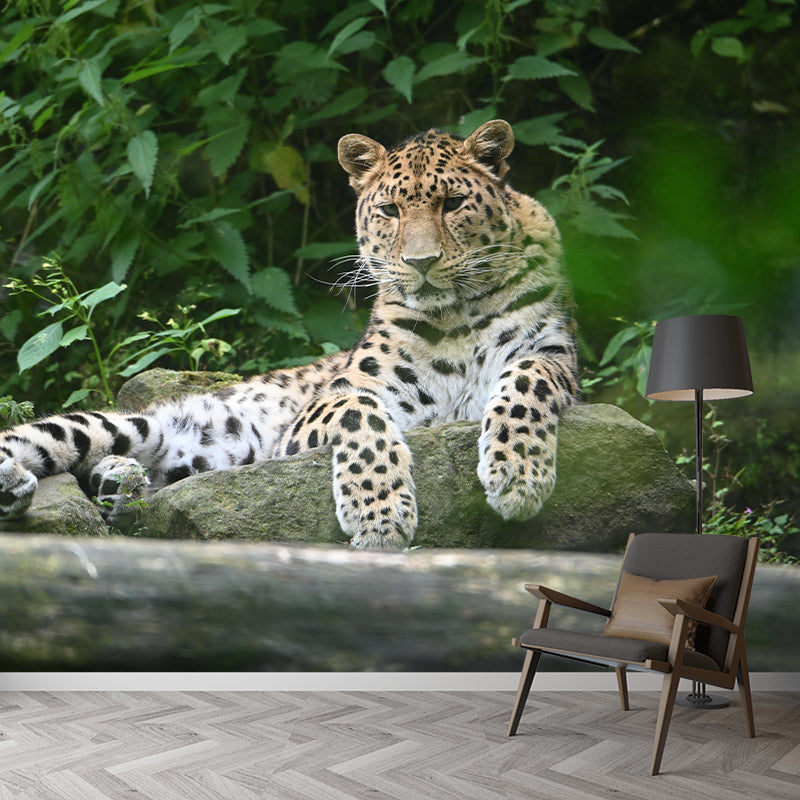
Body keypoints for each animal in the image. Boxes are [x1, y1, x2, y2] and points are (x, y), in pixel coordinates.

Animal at [0, 119, 579, 550]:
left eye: (453, 205)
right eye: (390, 210)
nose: (421, 263)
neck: (453, 318)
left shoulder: (555, 357)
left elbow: (526, 378)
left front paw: (518, 476)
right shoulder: (323, 409)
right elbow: (360, 412)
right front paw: (379, 515)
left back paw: (120, 484)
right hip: (122, 424)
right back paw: (28, 483)